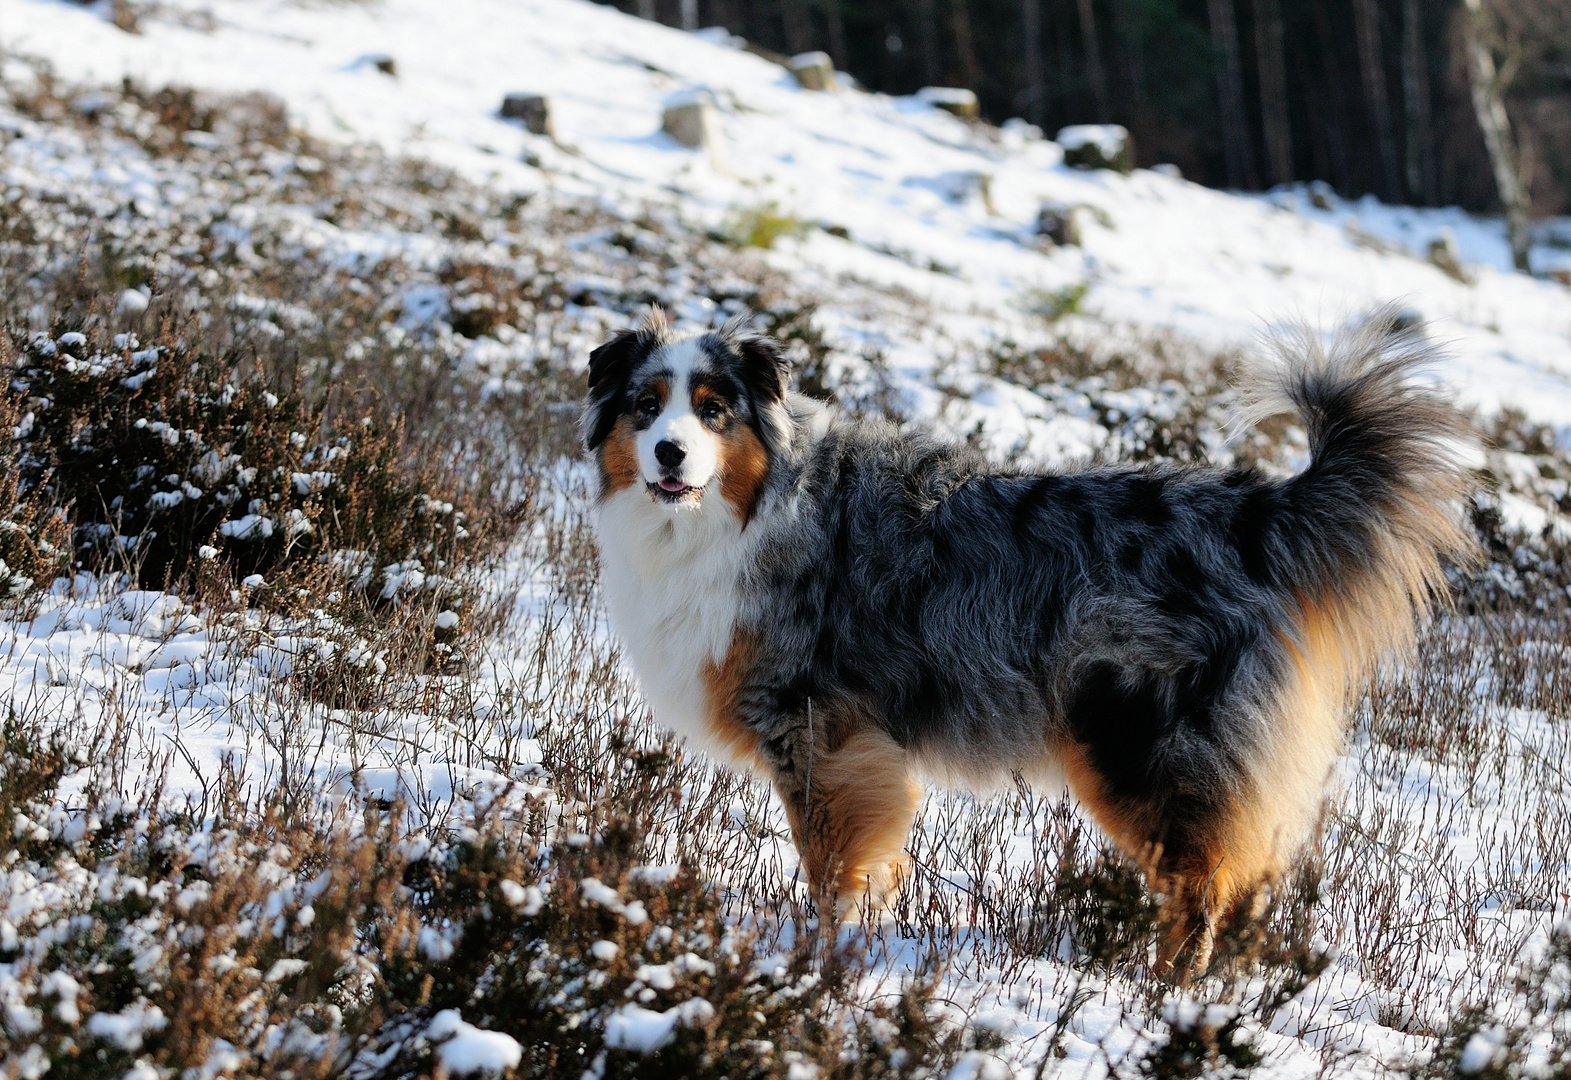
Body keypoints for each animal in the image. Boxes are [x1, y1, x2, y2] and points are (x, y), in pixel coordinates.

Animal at [584, 306, 1476, 974]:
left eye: (713, 409)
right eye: (644, 405)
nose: (669, 453)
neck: (739, 513)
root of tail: (1248, 515)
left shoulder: (817, 731)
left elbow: (832, 864)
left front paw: (822, 953)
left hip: (1139, 747)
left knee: (1201, 888)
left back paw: (1167, 1003)